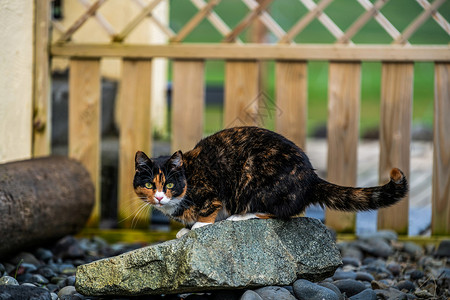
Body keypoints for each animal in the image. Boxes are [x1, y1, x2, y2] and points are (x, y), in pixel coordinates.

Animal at [134, 126, 408, 237]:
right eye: (149, 185)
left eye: (169, 184)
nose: (159, 197)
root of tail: (310, 177)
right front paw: (185, 228)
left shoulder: (212, 192)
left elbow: (210, 208)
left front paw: (198, 225)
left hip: (256, 178)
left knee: (281, 213)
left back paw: (241, 216)